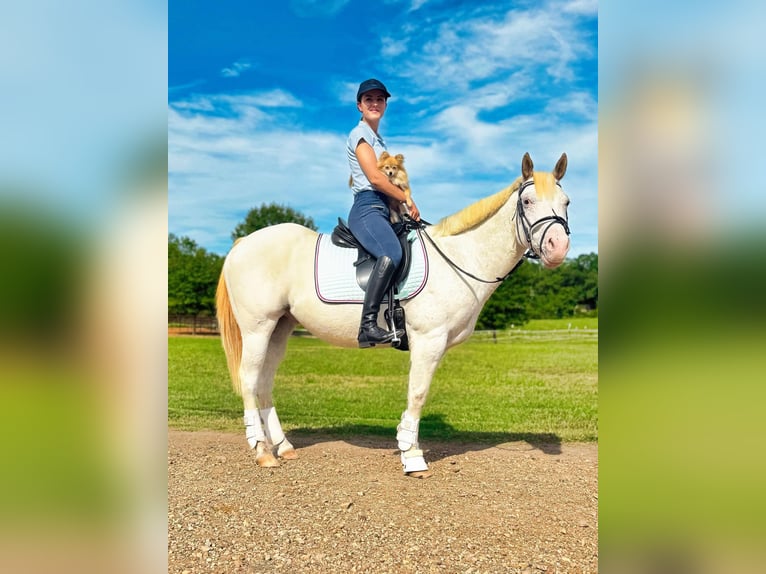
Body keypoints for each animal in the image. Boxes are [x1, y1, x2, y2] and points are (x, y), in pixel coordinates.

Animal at [216, 152, 568, 476]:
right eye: (527, 201)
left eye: (566, 202)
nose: (558, 247)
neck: (459, 258)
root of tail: (243, 243)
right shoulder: (428, 340)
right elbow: (418, 393)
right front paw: (412, 456)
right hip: (257, 328)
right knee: (249, 379)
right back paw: (262, 451)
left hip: (280, 327)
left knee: (264, 382)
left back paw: (283, 447)